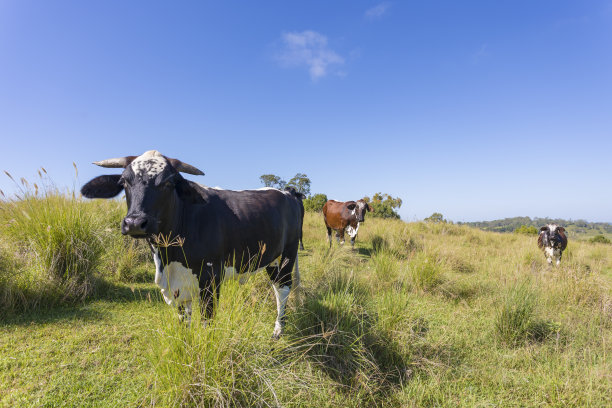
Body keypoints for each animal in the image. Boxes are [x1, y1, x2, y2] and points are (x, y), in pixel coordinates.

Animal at [81, 150, 304, 338]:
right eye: (124, 181)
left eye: (168, 183)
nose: (135, 222)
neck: (167, 257)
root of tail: (288, 192)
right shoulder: (178, 286)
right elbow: (184, 322)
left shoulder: (211, 279)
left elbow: (207, 322)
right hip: (271, 258)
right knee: (276, 285)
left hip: (289, 252)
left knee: (284, 287)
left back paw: (278, 330)